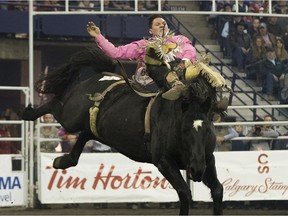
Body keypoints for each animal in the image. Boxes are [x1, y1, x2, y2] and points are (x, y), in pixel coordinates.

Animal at [21, 46, 224, 215]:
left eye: (207, 131)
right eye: (184, 129)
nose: (196, 170)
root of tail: (104, 75)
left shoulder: (207, 159)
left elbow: (217, 189)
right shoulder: (164, 161)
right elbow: (184, 192)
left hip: (96, 127)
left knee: (85, 134)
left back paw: (63, 160)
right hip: (71, 117)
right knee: (55, 104)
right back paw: (28, 112)